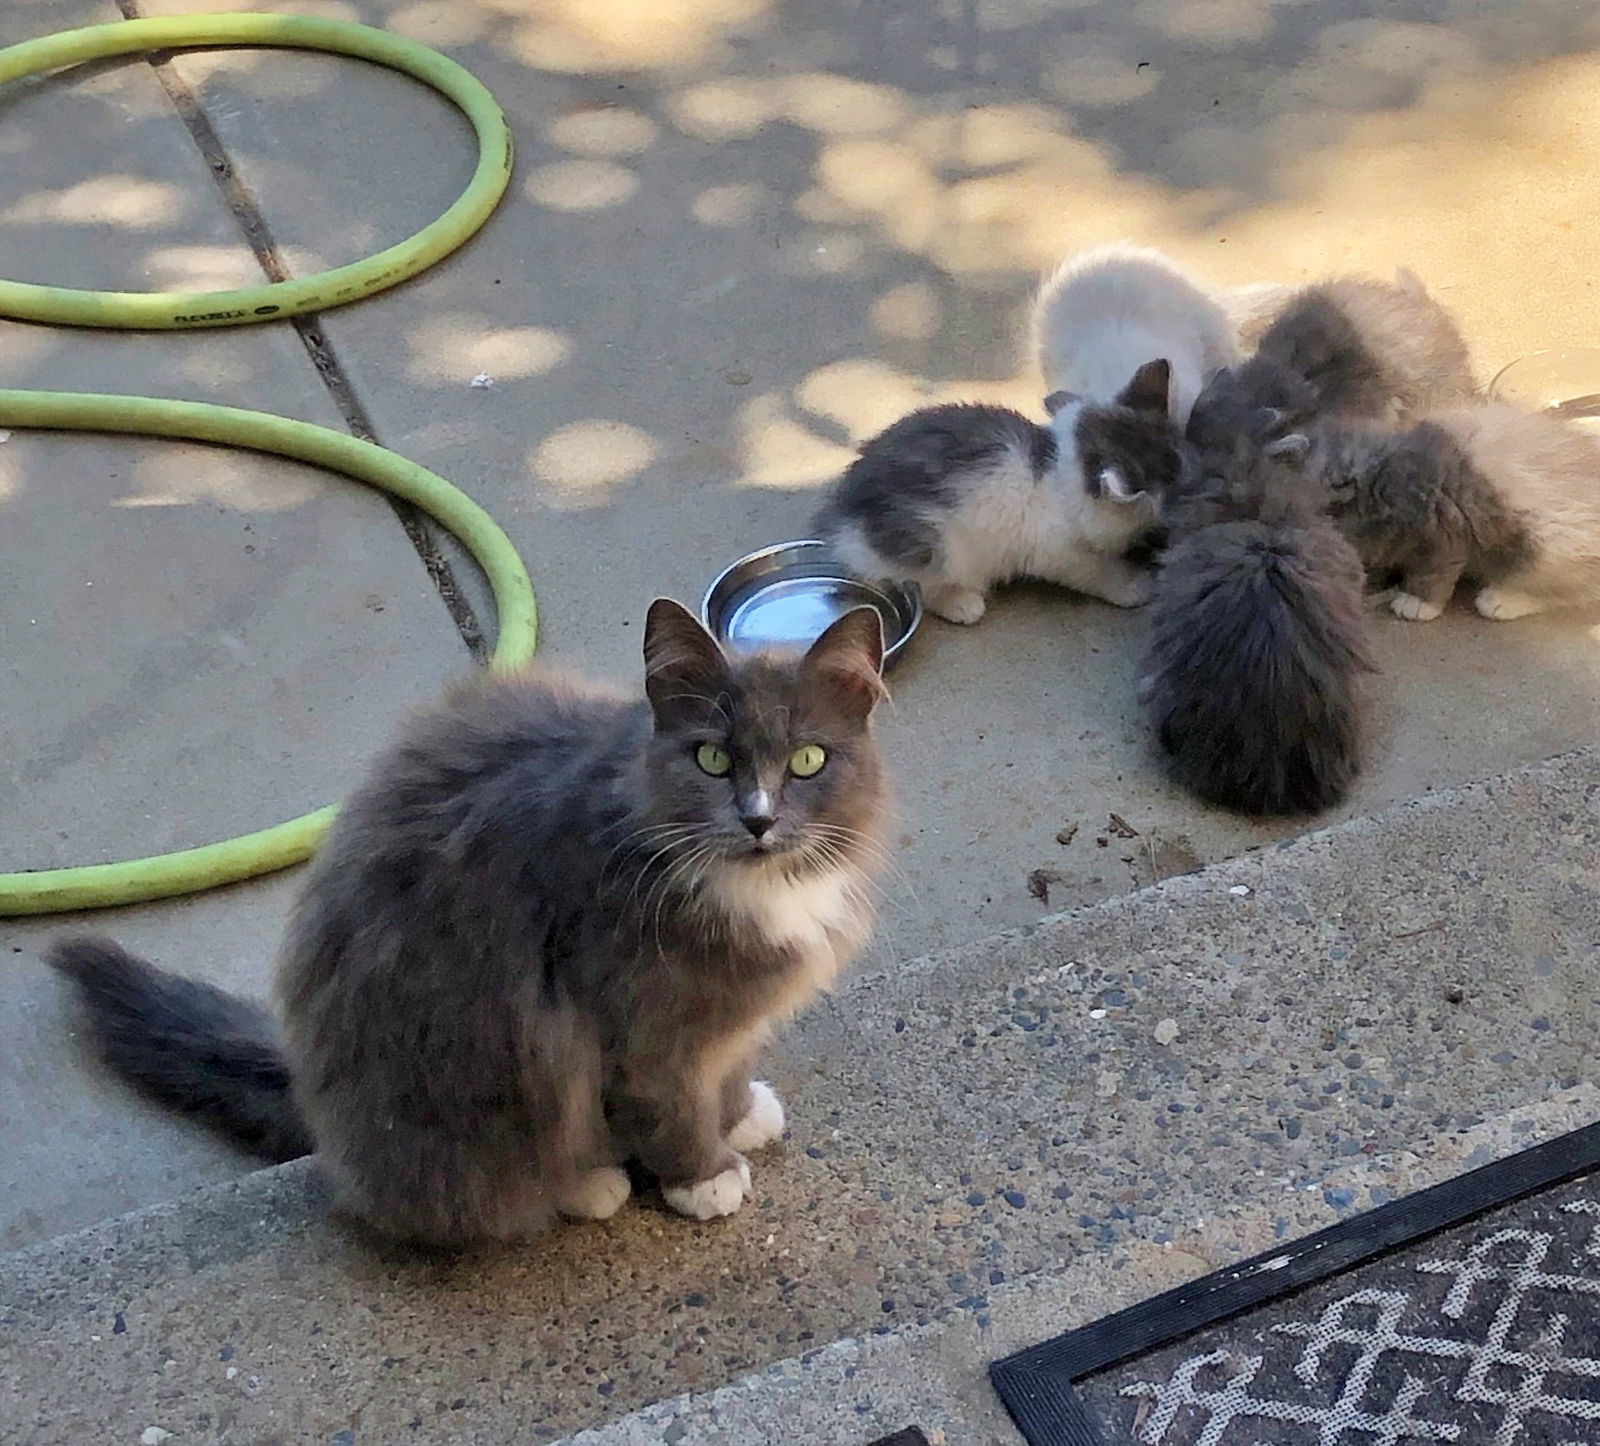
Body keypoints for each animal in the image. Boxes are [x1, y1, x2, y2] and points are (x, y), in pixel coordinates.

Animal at [50, 604, 896, 1247]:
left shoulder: (727, 1019)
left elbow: (727, 1069)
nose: (758, 820)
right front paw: (704, 1178)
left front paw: (742, 1116)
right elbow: (671, 1106)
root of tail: (317, 1103)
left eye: (809, 760)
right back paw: (588, 1184)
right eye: (713, 759)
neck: (750, 887)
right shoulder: (640, 1025)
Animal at [812, 361, 1177, 620]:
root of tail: (841, 521)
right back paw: (961, 603)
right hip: (932, 545)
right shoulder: (1055, 550)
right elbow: (1094, 570)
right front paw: (1131, 585)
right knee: (916, 582)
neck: (1056, 470)